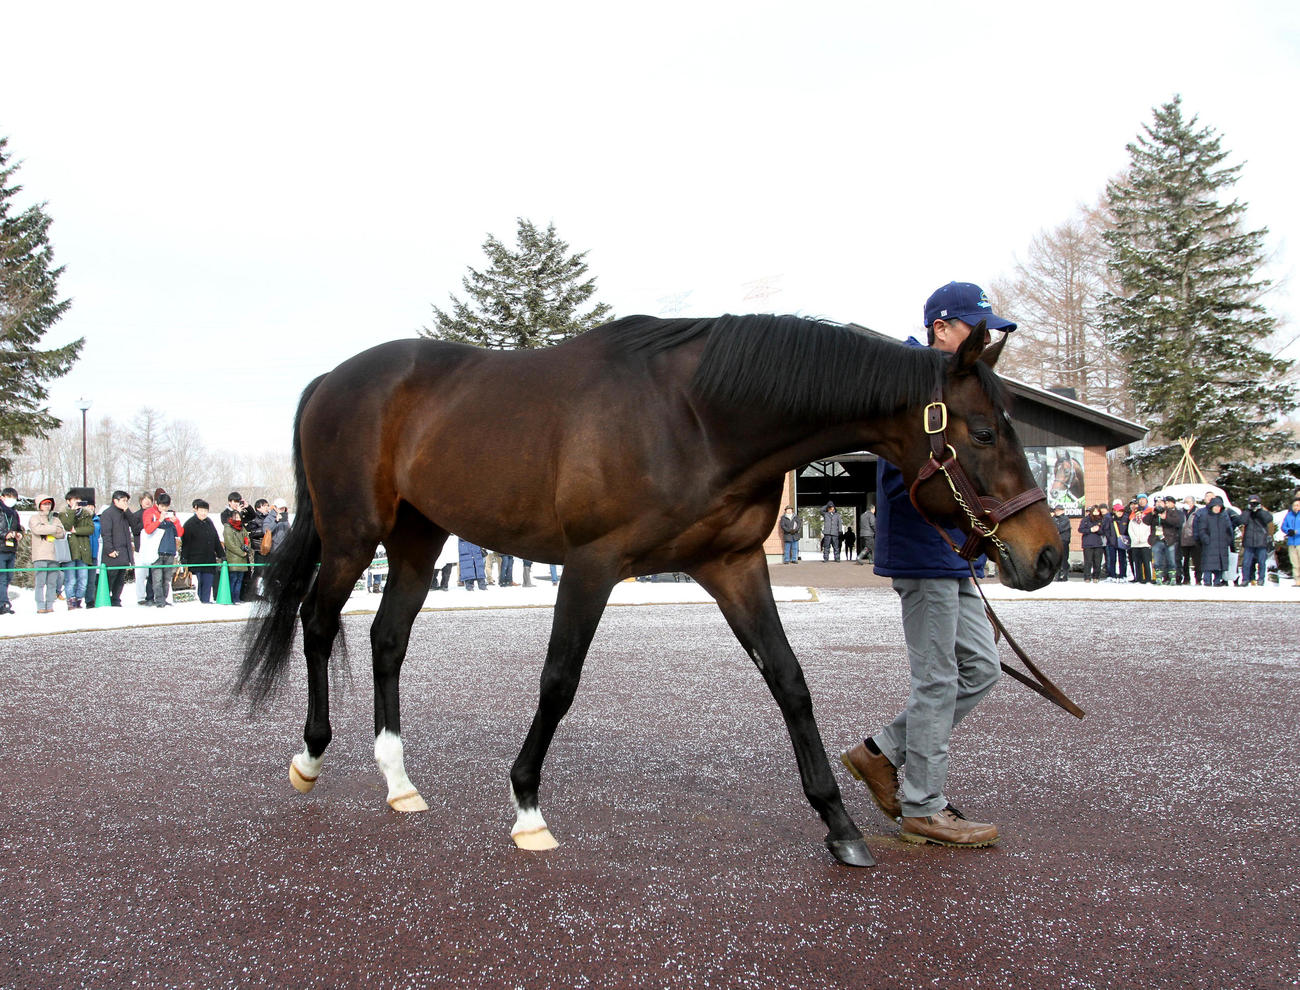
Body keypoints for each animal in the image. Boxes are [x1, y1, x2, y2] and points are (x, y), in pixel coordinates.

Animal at [237, 313, 1061, 868]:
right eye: (984, 432)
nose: (1046, 554)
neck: (695, 417)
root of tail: (333, 380)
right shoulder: (592, 565)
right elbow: (559, 680)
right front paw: (527, 807)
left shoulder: (734, 565)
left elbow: (789, 682)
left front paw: (840, 825)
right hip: (355, 534)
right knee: (317, 620)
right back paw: (311, 757)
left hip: (417, 537)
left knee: (388, 638)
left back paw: (399, 781)